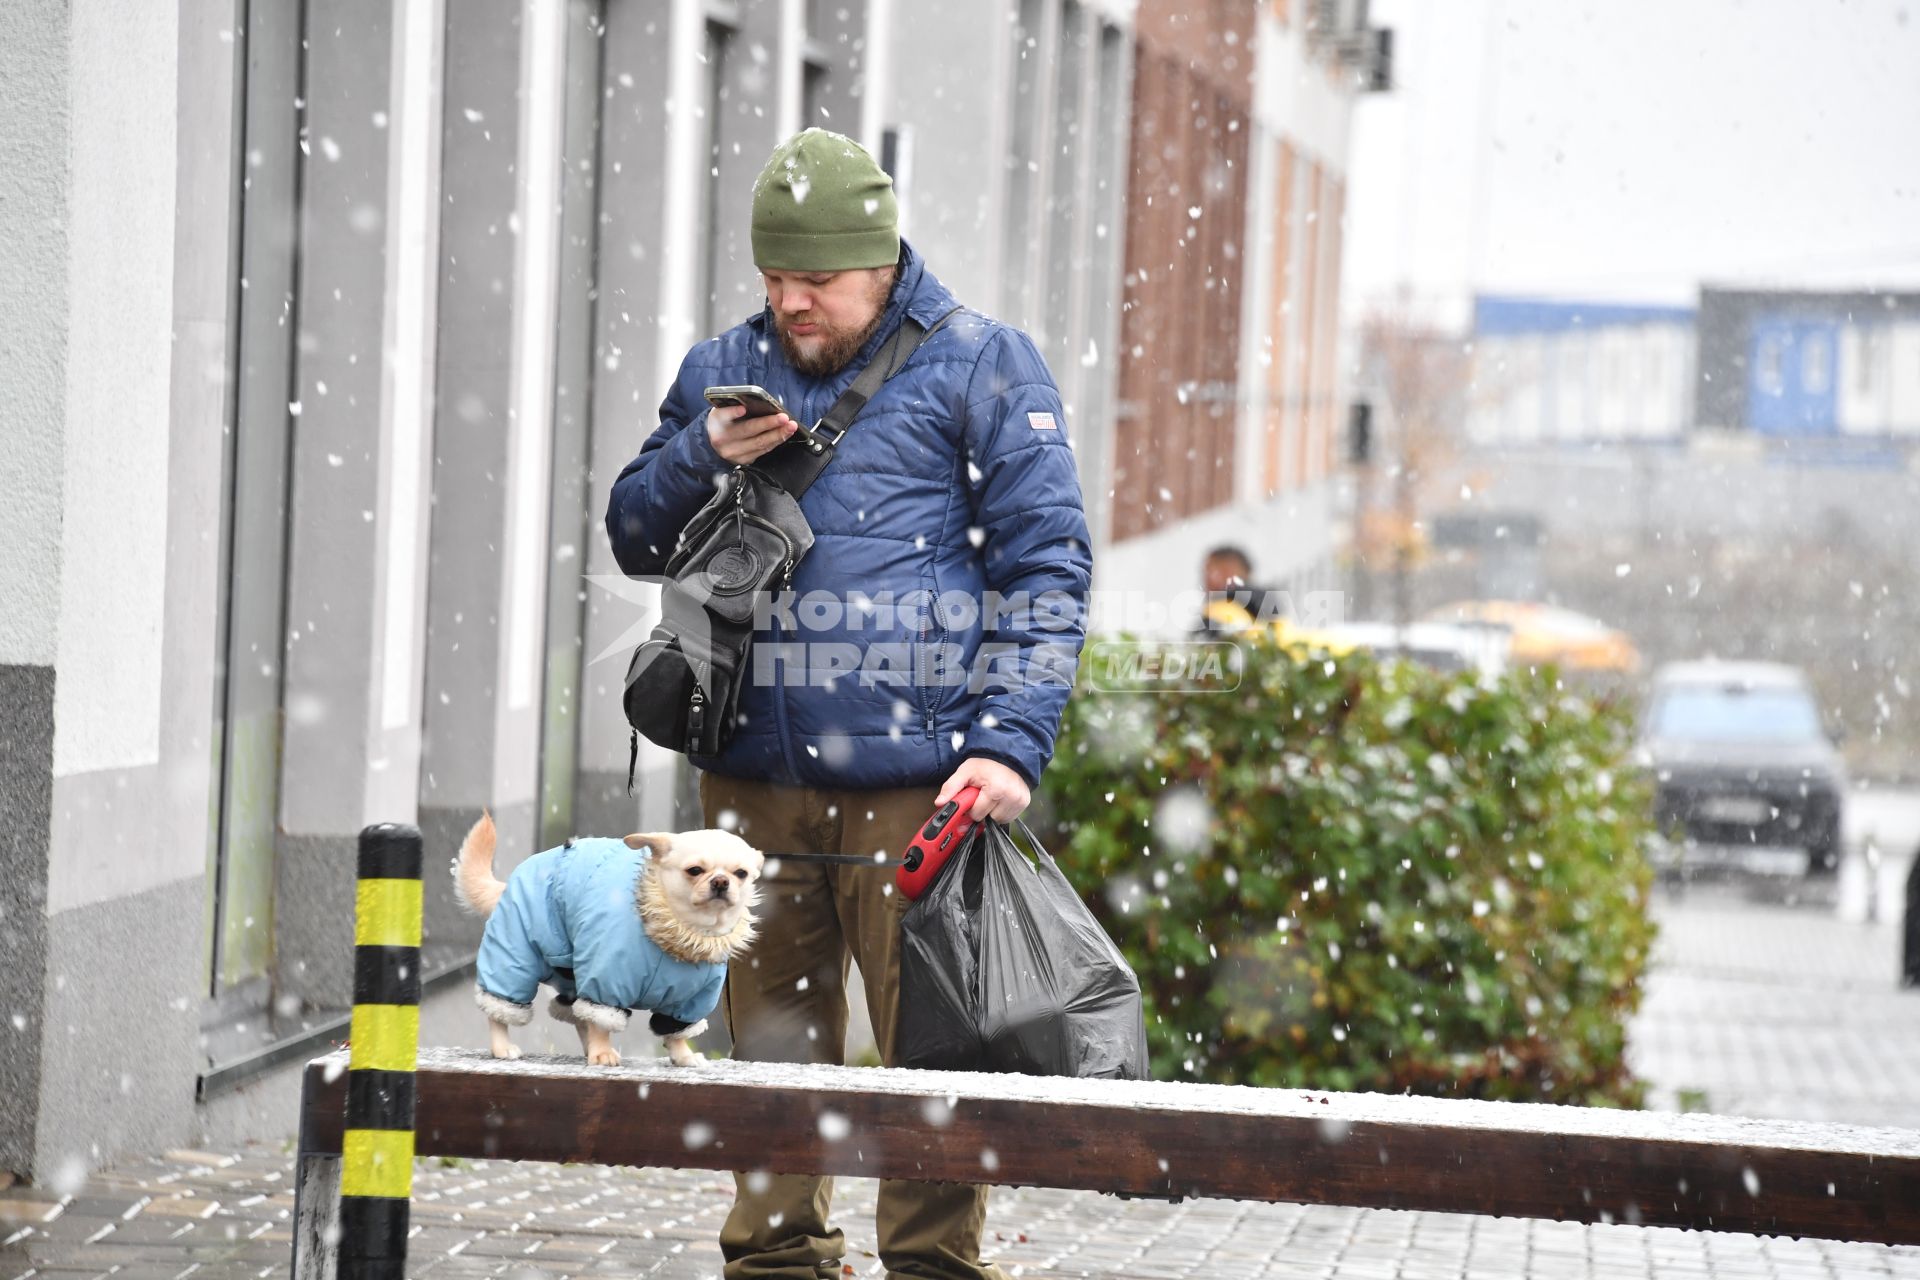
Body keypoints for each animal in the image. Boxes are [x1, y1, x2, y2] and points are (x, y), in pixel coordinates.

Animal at [453, 817, 760, 1066]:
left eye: (741, 874)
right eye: (694, 870)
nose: (720, 881)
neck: (682, 934)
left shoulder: (689, 1002)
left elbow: (675, 1031)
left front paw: (683, 1056)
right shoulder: (606, 982)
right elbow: (602, 1022)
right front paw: (602, 1052)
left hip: (571, 971)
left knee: (577, 1015)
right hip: (515, 956)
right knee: (501, 1007)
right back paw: (503, 1047)